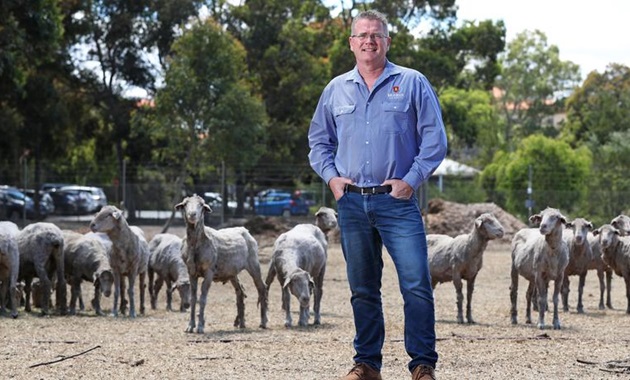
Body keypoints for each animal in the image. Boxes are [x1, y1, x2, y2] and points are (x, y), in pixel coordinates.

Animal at [175, 196, 270, 332]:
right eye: (185, 204)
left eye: (201, 205)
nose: (192, 215)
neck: (195, 246)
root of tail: (244, 229)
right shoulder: (191, 272)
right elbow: (193, 299)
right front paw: (190, 326)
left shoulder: (209, 272)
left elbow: (203, 298)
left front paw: (200, 326)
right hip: (232, 272)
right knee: (240, 292)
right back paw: (241, 322)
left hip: (254, 264)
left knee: (262, 288)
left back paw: (263, 321)